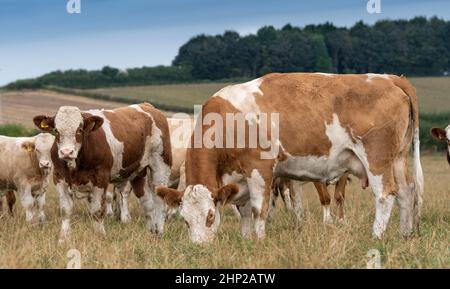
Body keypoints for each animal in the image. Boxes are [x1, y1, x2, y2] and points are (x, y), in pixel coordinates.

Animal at [33, 103, 172, 243]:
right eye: (56, 130)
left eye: (79, 130)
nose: (66, 152)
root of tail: (147, 105)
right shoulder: (59, 177)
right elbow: (65, 210)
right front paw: (63, 239)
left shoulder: (100, 178)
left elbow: (97, 211)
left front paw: (100, 236)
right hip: (138, 173)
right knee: (147, 204)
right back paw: (151, 233)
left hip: (161, 167)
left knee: (160, 203)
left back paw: (159, 232)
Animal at [157, 72, 422, 243]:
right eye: (185, 220)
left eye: (210, 216)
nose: (199, 246)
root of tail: (390, 78)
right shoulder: (239, 178)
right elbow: (244, 211)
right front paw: (245, 240)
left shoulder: (259, 169)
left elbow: (258, 209)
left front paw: (258, 240)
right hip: (397, 157)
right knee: (406, 191)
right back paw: (404, 233)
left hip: (376, 157)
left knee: (386, 194)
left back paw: (376, 236)